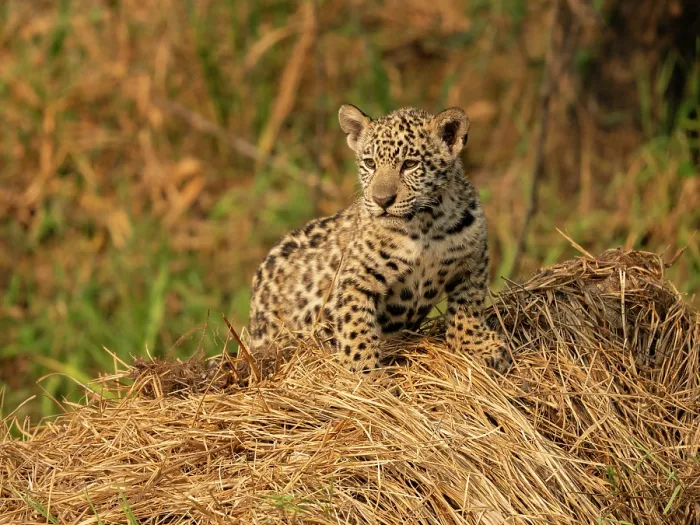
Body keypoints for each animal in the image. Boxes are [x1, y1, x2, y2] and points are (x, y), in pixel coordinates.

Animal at [243, 104, 511, 376]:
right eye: (370, 163)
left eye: (410, 164)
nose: (382, 200)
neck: (425, 225)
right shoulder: (356, 277)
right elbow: (356, 325)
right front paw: (364, 371)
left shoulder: (473, 261)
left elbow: (469, 305)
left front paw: (476, 345)